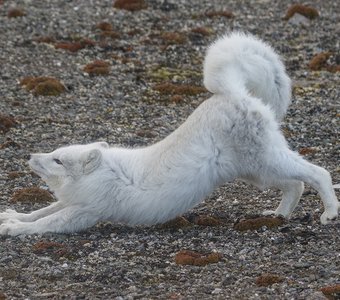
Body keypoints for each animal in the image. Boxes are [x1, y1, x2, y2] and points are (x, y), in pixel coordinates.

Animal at [0, 32, 338, 234]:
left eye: (57, 160)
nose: (31, 155)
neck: (99, 175)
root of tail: (232, 93)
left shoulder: (85, 211)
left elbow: (46, 222)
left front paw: (14, 229)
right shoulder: (73, 201)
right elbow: (41, 210)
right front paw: (12, 216)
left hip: (267, 160)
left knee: (317, 172)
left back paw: (330, 213)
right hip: (257, 171)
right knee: (295, 184)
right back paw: (278, 215)